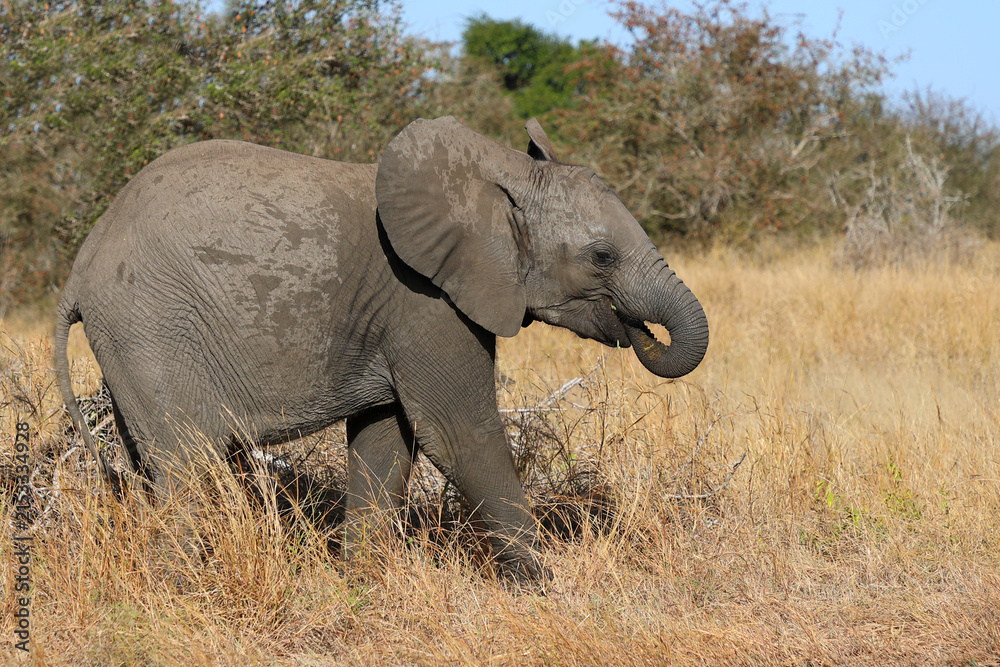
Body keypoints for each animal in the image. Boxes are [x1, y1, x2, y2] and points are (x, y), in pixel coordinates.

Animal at [55, 116, 708, 582]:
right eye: (602, 256)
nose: (637, 330)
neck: (498, 175)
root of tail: (80, 266)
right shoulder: (425, 299)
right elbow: (456, 431)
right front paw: (543, 586)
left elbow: (386, 440)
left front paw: (361, 584)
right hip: (149, 325)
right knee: (190, 467)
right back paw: (187, 592)